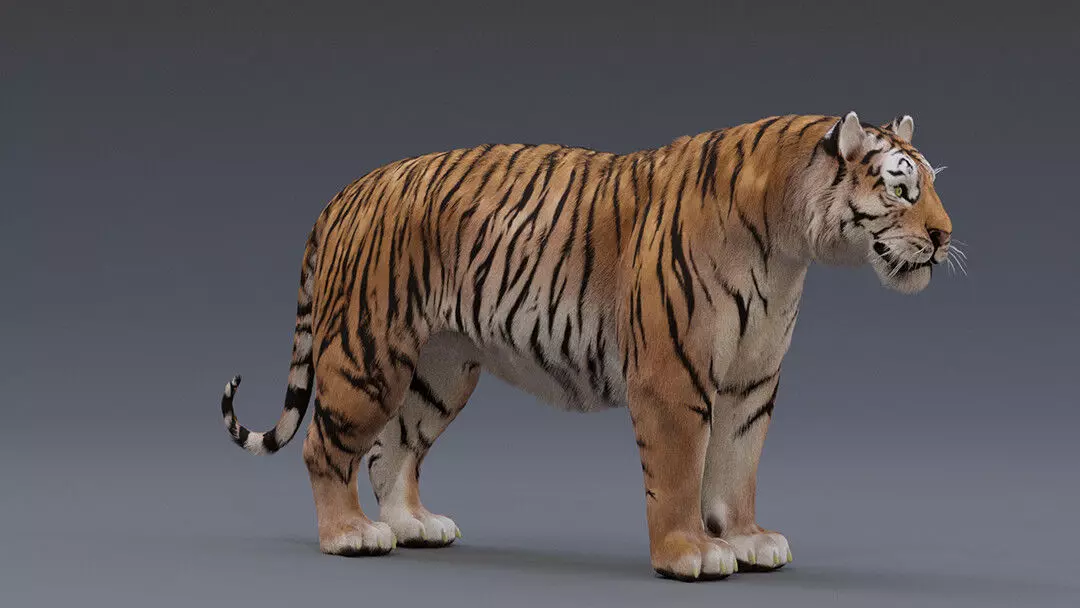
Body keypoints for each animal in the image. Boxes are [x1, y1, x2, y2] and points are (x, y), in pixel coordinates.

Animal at [219, 111, 954, 581]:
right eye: (900, 186)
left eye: (931, 185)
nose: (945, 236)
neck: (787, 249)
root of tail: (349, 191)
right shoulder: (672, 377)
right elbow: (680, 472)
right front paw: (688, 553)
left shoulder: (751, 383)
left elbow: (737, 467)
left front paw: (747, 541)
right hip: (367, 354)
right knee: (327, 445)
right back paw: (350, 537)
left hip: (442, 370)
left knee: (391, 451)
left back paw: (414, 525)